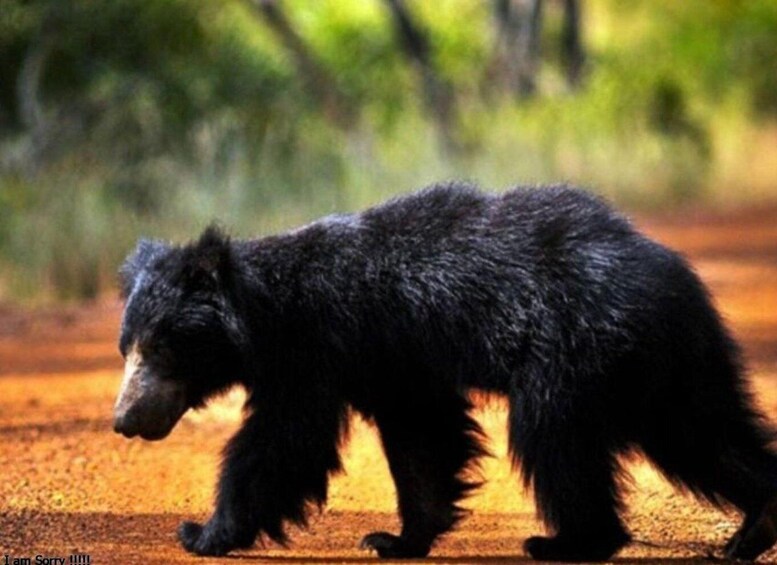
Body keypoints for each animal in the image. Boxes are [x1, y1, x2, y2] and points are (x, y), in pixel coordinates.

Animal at [112, 184, 776, 560]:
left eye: (159, 348)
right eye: (126, 348)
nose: (123, 421)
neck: (263, 311)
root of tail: (665, 270)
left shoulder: (316, 348)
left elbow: (284, 441)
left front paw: (201, 532)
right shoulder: (394, 362)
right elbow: (421, 441)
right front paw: (395, 540)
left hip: (574, 349)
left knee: (554, 439)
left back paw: (569, 543)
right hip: (665, 364)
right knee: (704, 435)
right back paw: (752, 530)